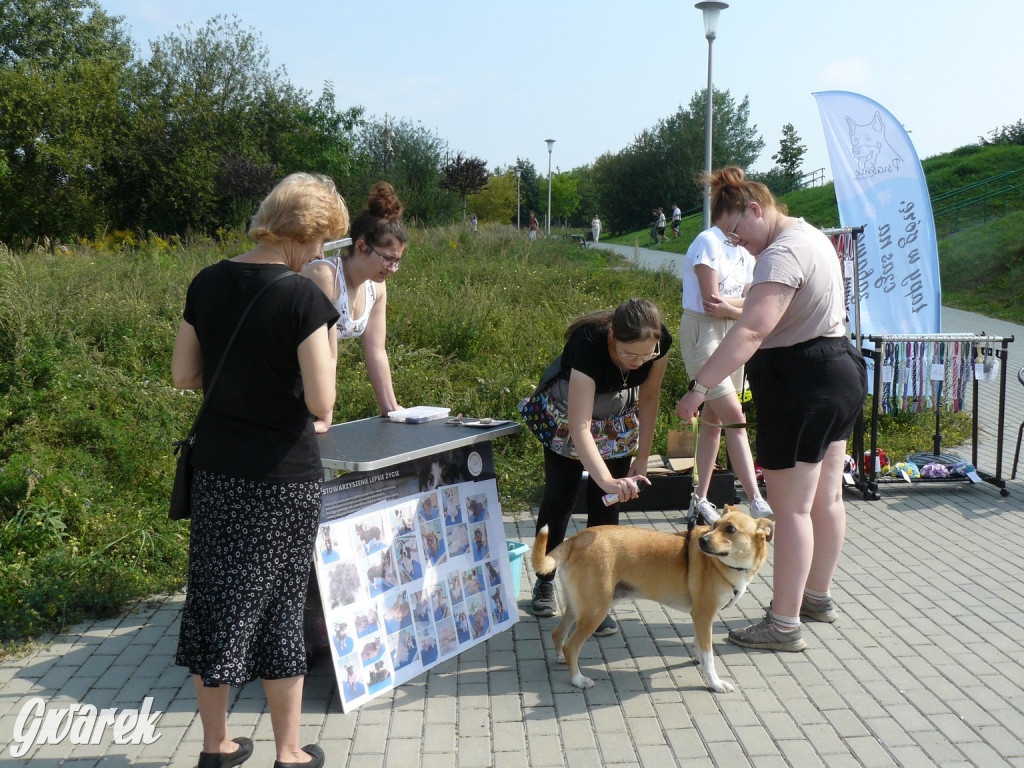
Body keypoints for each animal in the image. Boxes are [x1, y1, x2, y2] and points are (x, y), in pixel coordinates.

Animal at [532, 507, 770, 696]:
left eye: (730, 529)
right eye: (714, 525)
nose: (702, 541)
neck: (729, 566)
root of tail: (576, 538)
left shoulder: (701, 618)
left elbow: (700, 646)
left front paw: (699, 660)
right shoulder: (703, 615)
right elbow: (709, 656)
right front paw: (715, 683)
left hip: (578, 606)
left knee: (558, 634)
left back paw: (560, 658)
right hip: (595, 610)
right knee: (571, 646)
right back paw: (577, 679)